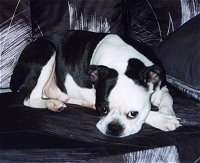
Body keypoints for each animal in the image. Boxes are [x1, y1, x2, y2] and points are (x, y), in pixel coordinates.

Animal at [10, 30, 180, 138]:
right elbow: (149, 112)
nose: (113, 128)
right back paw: (52, 103)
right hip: (47, 50)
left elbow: (168, 100)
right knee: (30, 99)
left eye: (133, 114)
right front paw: (164, 120)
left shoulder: (161, 89)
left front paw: (168, 114)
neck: (123, 63)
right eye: (103, 109)